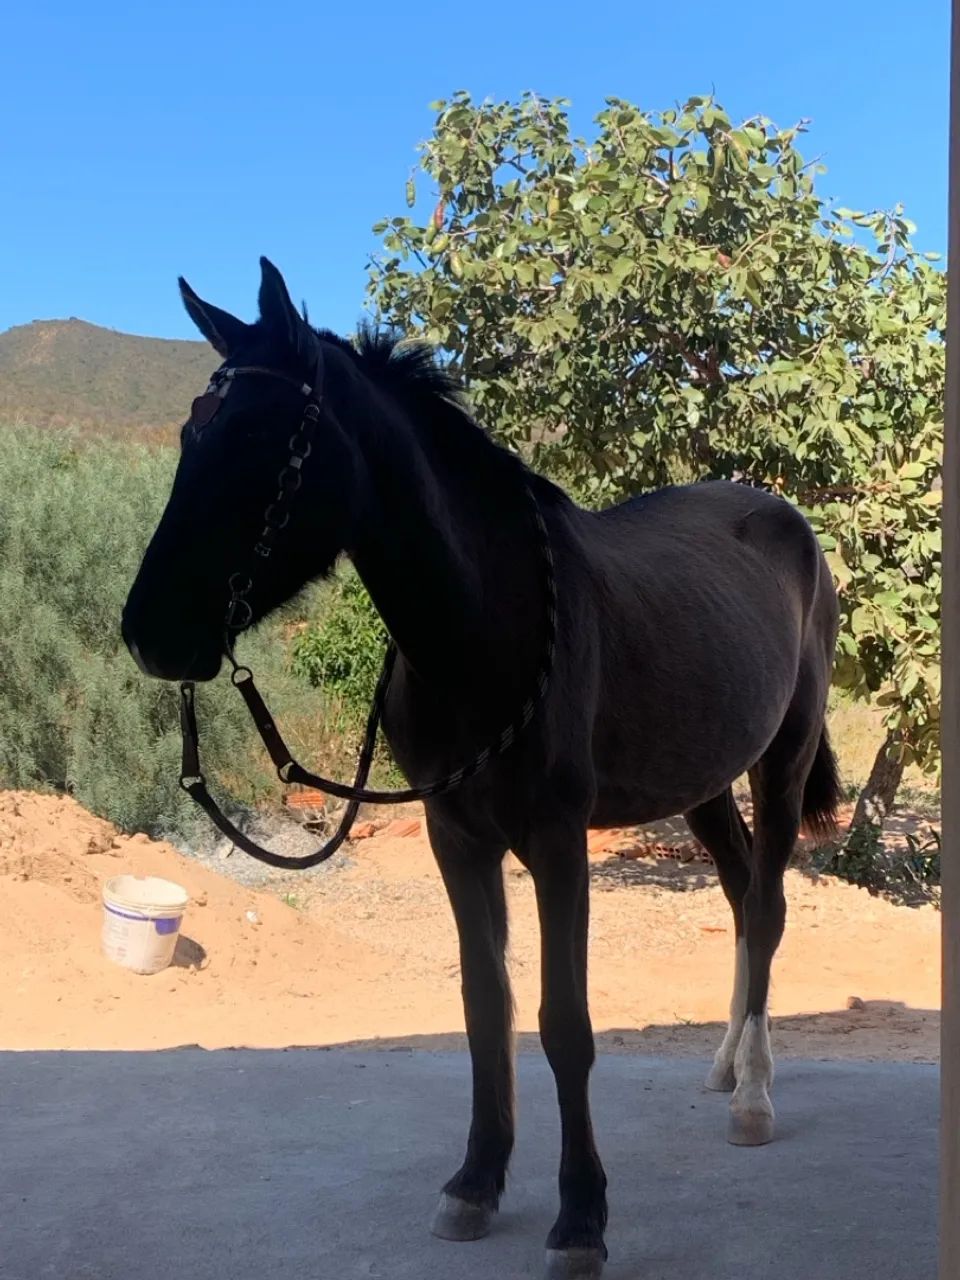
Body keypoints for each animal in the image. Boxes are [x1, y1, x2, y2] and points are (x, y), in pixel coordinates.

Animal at [122, 257, 841, 1280]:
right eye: (191, 431)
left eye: (264, 441)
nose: (149, 633)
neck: (482, 627)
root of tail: (783, 518)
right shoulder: (455, 838)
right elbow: (482, 1007)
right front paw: (476, 1180)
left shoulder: (557, 844)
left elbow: (564, 1024)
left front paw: (581, 1219)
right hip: (702, 781)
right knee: (743, 899)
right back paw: (726, 1066)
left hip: (780, 761)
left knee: (771, 907)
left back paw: (755, 1097)